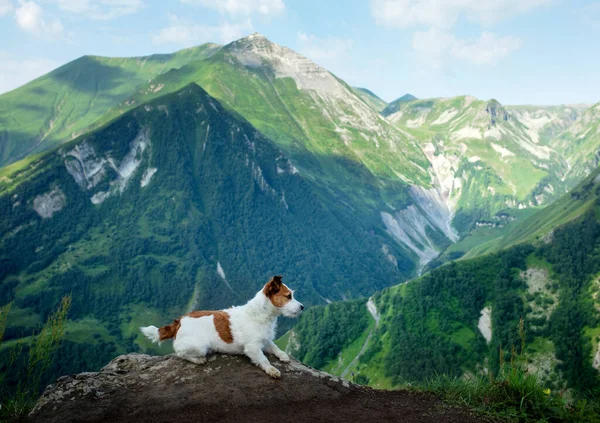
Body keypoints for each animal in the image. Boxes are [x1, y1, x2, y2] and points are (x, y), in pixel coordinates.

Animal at [141, 276, 304, 380]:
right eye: (288, 296)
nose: (302, 307)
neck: (260, 314)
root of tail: (179, 321)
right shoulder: (252, 348)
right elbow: (263, 359)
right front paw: (272, 369)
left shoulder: (265, 339)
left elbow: (275, 346)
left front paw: (283, 355)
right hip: (200, 345)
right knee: (180, 353)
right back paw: (198, 360)